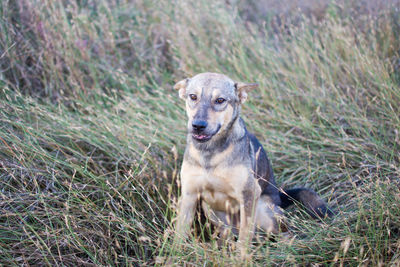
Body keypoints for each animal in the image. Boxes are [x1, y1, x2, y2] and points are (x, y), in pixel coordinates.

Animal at [173, 73, 332, 253]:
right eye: (193, 97)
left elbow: (244, 236)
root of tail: (280, 196)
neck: (210, 151)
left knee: (284, 235)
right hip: (210, 208)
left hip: (263, 208)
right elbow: (179, 233)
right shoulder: (189, 195)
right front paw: (174, 254)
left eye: (220, 100)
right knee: (226, 234)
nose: (198, 125)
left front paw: (241, 257)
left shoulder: (249, 193)